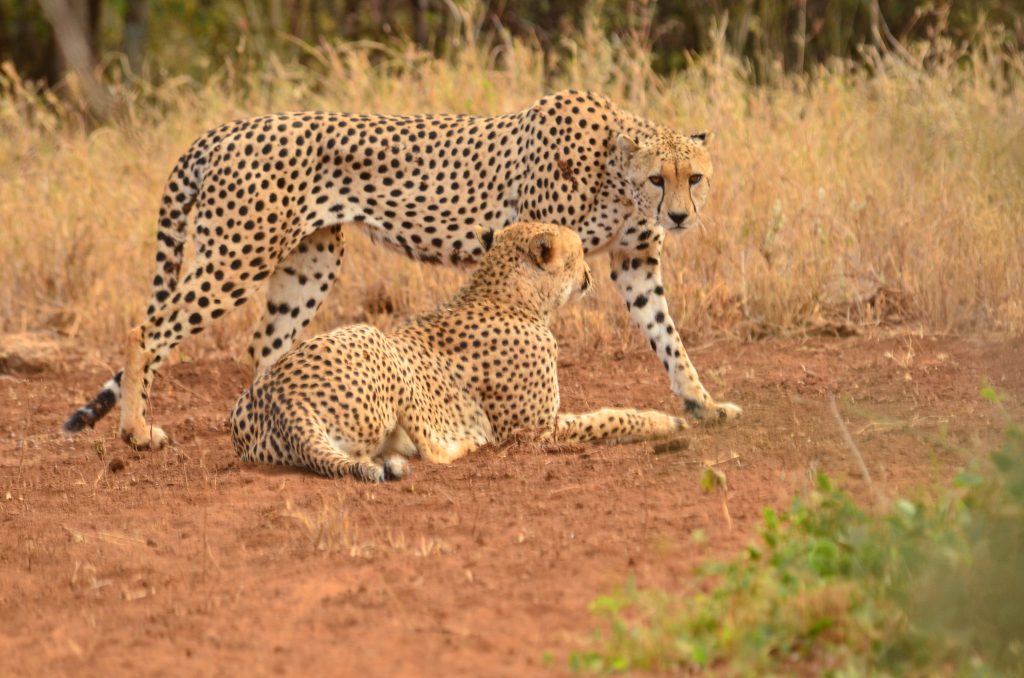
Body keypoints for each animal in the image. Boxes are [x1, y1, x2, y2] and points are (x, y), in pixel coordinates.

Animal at [64, 91, 741, 450]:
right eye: (659, 178)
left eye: (695, 177)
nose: (680, 216)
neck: (616, 176)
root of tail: (226, 129)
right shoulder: (541, 249)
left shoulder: (635, 261)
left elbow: (669, 338)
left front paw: (703, 403)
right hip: (238, 252)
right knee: (148, 330)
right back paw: (137, 431)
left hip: (311, 260)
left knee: (264, 346)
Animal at [230, 224, 688, 483]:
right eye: (576, 254)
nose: (591, 275)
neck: (507, 296)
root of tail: (280, 398)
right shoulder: (531, 432)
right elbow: (608, 417)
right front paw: (666, 422)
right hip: (377, 341)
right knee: (430, 449)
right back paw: (461, 445)